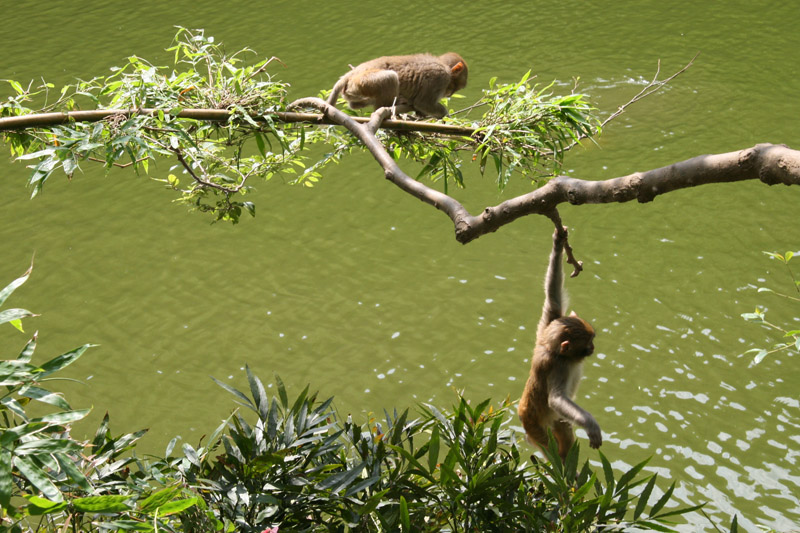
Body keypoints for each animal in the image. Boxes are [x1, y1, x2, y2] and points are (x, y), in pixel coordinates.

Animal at [324, 52, 468, 118]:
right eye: (457, 86)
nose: (450, 94)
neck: (443, 66)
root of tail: (352, 73)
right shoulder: (439, 78)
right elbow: (423, 103)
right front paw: (445, 115)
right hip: (364, 81)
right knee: (390, 78)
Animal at [516, 227, 604, 460]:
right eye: (588, 343)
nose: (593, 348)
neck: (553, 350)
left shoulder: (549, 323)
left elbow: (553, 297)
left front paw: (558, 241)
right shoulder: (558, 366)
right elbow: (556, 399)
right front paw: (591, 425)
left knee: (562, 427)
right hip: (538, 431)